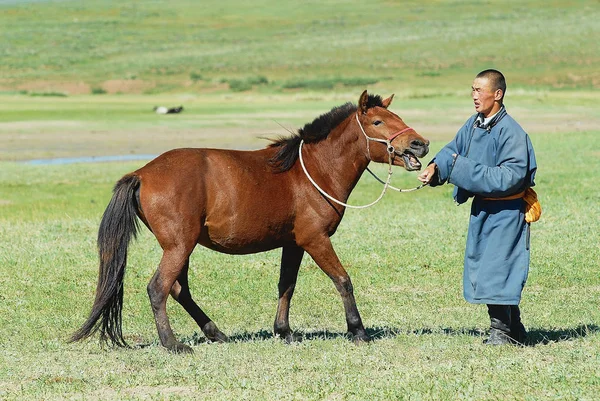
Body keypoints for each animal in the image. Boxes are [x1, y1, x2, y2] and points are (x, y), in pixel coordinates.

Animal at [71, 90, 426, 354]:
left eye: (399, 118)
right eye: (378, 121)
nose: (420, 144)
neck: (312, 170)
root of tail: (142, 173)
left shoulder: (293, 244)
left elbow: (287, 285)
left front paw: (284, 331)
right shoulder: (315, 240)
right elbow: (343, 280)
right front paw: (358, 330)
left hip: (182, 247)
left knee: (179, 289)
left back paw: (215, 333)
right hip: (179, 245)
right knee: (159, 288)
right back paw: (173, 344)